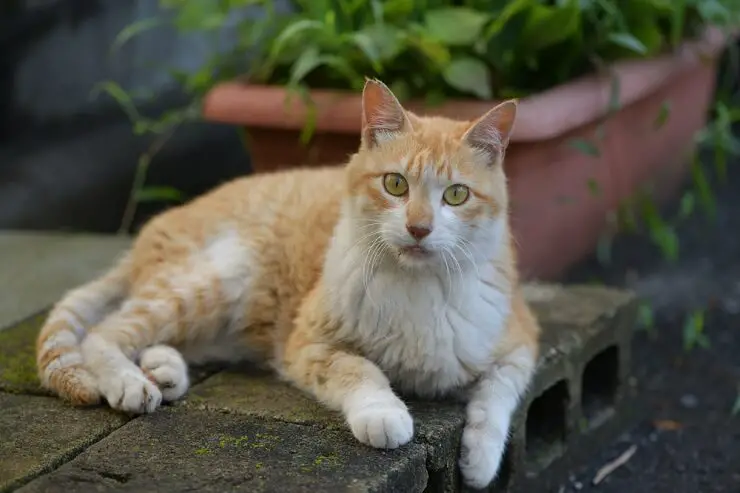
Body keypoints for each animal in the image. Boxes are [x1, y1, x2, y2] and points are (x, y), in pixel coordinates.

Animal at [34, 78, 540, 488]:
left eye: (456, 194)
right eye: (395, 185)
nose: (419, 228)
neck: (418, 286)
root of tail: (151, 230)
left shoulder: (520, 340)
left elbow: (499, 393)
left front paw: (480, 458)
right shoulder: (307, 344)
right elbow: (360, 370)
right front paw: (384, 414)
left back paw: (163, 370)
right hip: (213, 282)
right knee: (107, 330)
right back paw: (130, 382)